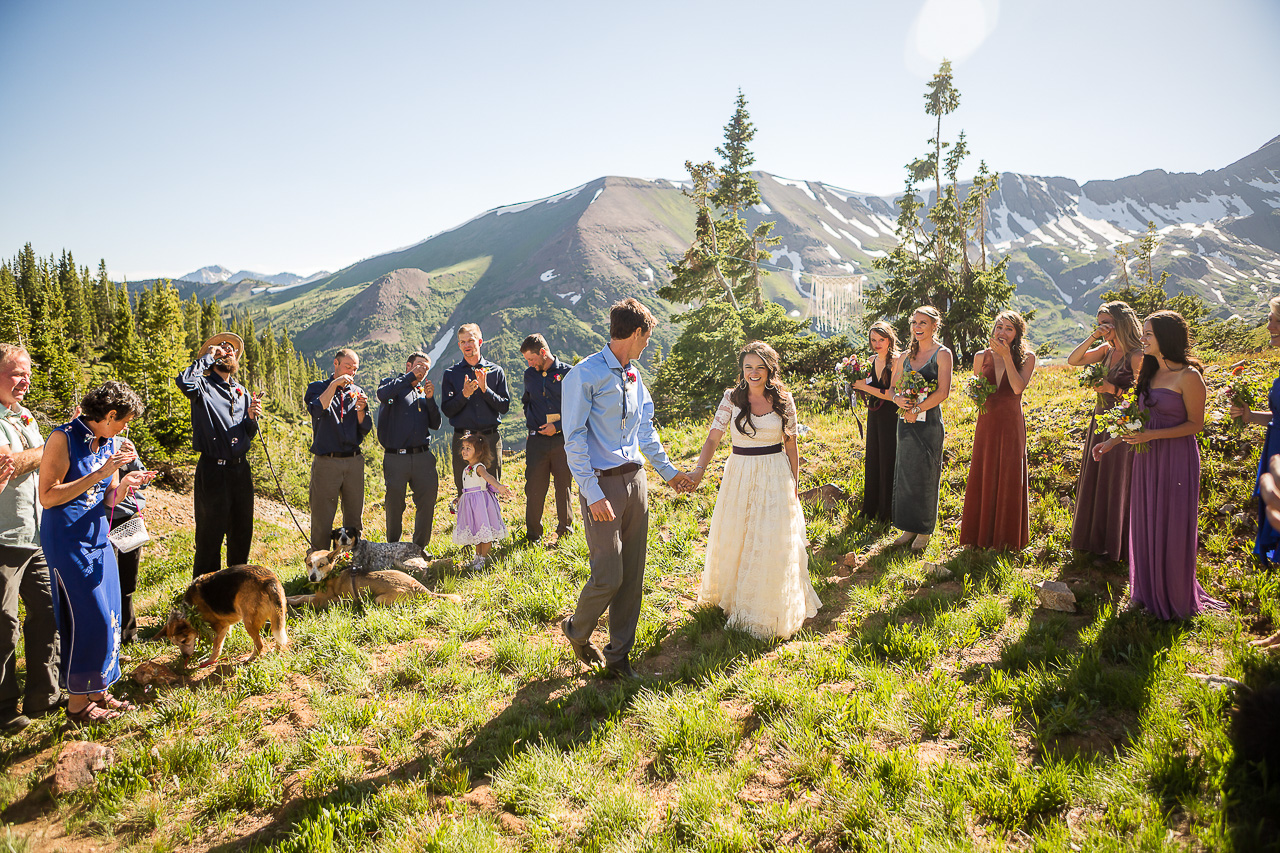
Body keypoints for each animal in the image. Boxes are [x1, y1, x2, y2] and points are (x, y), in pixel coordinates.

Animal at [162, 560, 290, 666]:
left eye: (183, 641)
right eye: (175, 643)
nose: (185, 657)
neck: (190, 609)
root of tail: (268, 579)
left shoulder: (220, 627)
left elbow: (216, 647)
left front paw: (209, 661)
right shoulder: (225, 627)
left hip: (249, 623)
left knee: (259, 645)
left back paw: (249, 659)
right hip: (277, 616)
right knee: (278, 638)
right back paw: (275, 652)